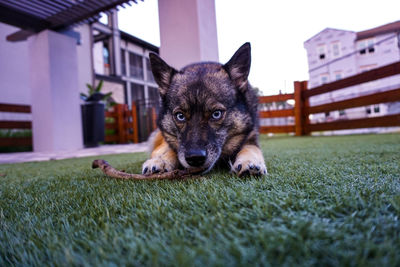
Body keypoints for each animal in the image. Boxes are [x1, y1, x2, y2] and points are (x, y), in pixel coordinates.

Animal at [142, 43, 268, 178]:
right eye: (180, 116)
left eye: (216, 114)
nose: (195, 158)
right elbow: (168, 149)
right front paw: (161, 160)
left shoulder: (251, 136)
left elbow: (251, 148)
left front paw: (250, 161)